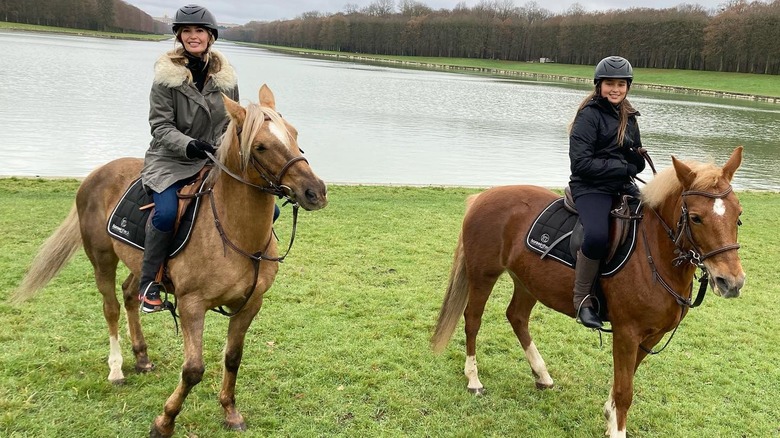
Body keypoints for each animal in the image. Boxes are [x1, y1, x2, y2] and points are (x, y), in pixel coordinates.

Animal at [13, 84, 328, 434]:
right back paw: (116, 369)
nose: (315, 192)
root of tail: (97, 173)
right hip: (102, 258)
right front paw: (164, 421)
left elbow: (233, 357)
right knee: (111, 308)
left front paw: (230, 411)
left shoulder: (249, 303)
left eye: (294, 133)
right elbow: (193, 369)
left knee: (131, 294)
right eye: (259, 146)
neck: (233, 230)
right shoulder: (192, 305)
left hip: (141, 264)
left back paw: (141, 356)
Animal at [432, 148, 744, 438]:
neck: (653, 253)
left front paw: (610, 415)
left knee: (517, 317)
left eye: (738, 215)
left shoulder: (651, 336)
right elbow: (625, 390)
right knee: (473, 320)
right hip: (482, 275)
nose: (732, 282)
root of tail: (481, 198)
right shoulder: (627, 332)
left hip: (527, 281)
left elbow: (624, 381)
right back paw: (474, 379)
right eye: (696, 218)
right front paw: (617, 428)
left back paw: (542, 374)